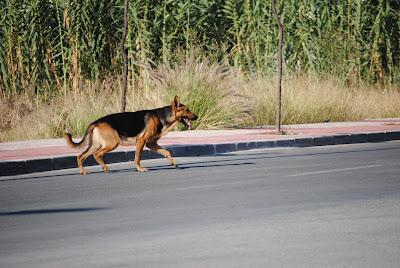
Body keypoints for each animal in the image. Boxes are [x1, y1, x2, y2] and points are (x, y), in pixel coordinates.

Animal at [63, 95, 198, 175]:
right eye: (187, 110)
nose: (197, 116)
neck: (162, 117)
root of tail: (95, 122)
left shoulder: (151, 144)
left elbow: (167, 152)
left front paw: (173, 163)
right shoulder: (141, 142)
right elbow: (137, 158)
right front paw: (140, 169)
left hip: (95, 145)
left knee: (80, 156)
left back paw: (83, 171)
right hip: (112, 143)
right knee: (97, 154)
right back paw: (105, 169)